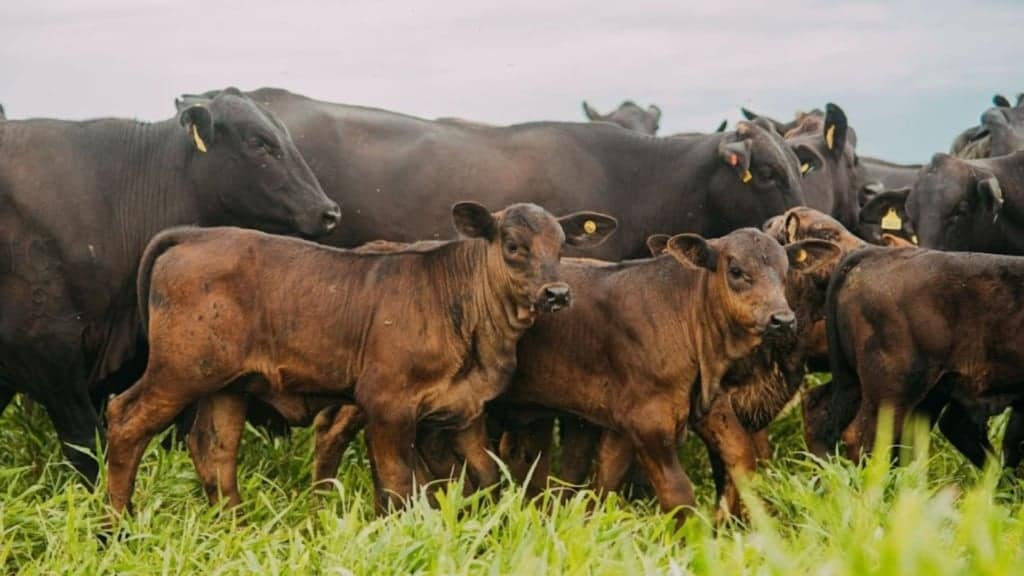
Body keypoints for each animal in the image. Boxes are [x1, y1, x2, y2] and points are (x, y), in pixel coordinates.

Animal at [105, 203, 617, 514]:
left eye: (561, 246)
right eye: (512, 246)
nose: (557, 293)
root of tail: (195, 235)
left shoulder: (465, 407)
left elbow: (486, 474)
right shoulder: (386, 403)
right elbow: (397, 483)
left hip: (228, 384)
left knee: (214, 447)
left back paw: (235, 523)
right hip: (179, 372)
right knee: (126, 421)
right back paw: (117, 526)